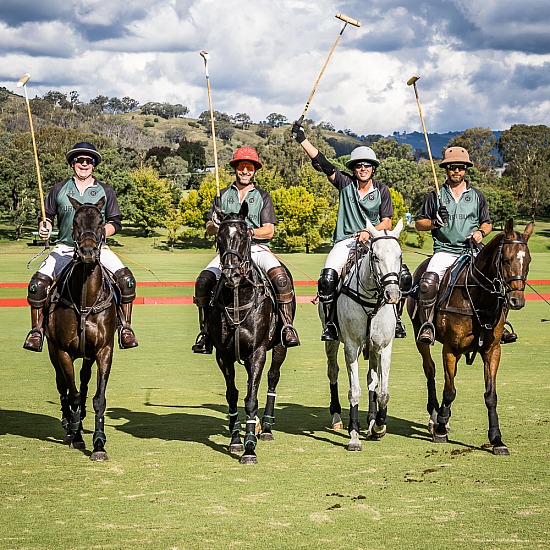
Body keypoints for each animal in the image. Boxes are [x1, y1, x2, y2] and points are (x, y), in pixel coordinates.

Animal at [45, 196, 117, 464]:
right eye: (75, 222)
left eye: (101, 222)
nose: (87, 252)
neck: (86, 299)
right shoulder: (63, 352)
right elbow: (72, 393)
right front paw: (76, 435)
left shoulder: (105, 350)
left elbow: (99, 398)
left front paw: (99, 444)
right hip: (52, 350)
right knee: (62, 385)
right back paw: (69, 422)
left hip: (87, 355)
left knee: (84, 380)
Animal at [211, 203, 298, 466]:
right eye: (219, 238)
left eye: (243, 236)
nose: (231, 276)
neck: (239, 296)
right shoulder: (223, 355)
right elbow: (232, 395)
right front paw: (236, 439)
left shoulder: (257, 351)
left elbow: (251, 398)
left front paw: (250, 448)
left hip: (279, 346)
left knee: (272, 377)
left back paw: (266, 427)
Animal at [324, 220, 406, 452]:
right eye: (375, 256)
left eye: (399, 256)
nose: (392, 295)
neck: (371, 301)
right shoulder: (351, 346)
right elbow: (354, 390)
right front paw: (353, 436)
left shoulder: (384, 346)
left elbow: (383, 392)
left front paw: (378, 426)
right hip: (333, 341)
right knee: (333, 371)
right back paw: (336, 417)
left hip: (373, 349)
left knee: (372, 380)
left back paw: (370, 421)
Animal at [410, 220, 536, 458]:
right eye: (506, 259)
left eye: (528, 260)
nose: (517, 300)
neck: (478, 298)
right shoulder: (450, 349)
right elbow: (450, 390)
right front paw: (441, 429)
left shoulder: (492, 350)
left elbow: (491, 395)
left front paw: (497, 439)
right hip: (419, 334)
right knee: (430, 369)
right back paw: (435, 417)